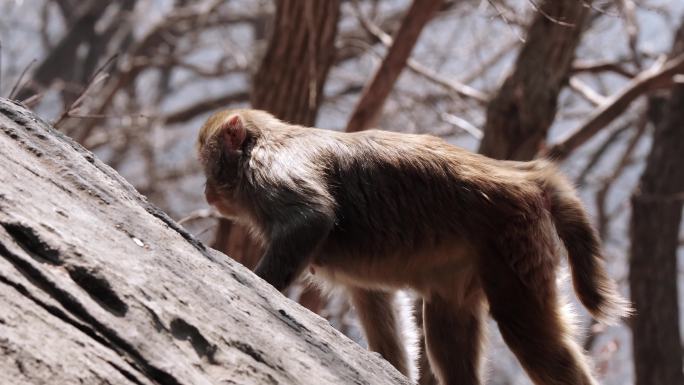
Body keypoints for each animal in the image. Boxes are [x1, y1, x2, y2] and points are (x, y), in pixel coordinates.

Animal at [196, 108, 632, 384]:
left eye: (207, 165)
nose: (205, 192)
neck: (265, 141)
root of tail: (523, 174)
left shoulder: (271, 168)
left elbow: (310, 218)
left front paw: (258, 283)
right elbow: (376, 299)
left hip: (515, 241)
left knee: (528, 331)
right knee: (446, 320)